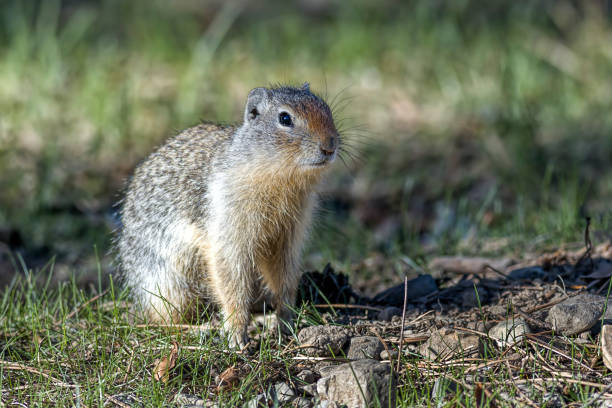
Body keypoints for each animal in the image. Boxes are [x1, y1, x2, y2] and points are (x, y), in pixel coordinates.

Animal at [116, 83, 340, 348]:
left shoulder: (288, 235)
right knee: (165, 319)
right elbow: (231, 278)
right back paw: (202, 328)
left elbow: (284, 278)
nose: (330, 145)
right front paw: (236, 335)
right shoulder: (229, 227)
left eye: (326, 109)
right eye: (285, 118)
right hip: (168, 284)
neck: (279, 177)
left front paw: (286, 322)